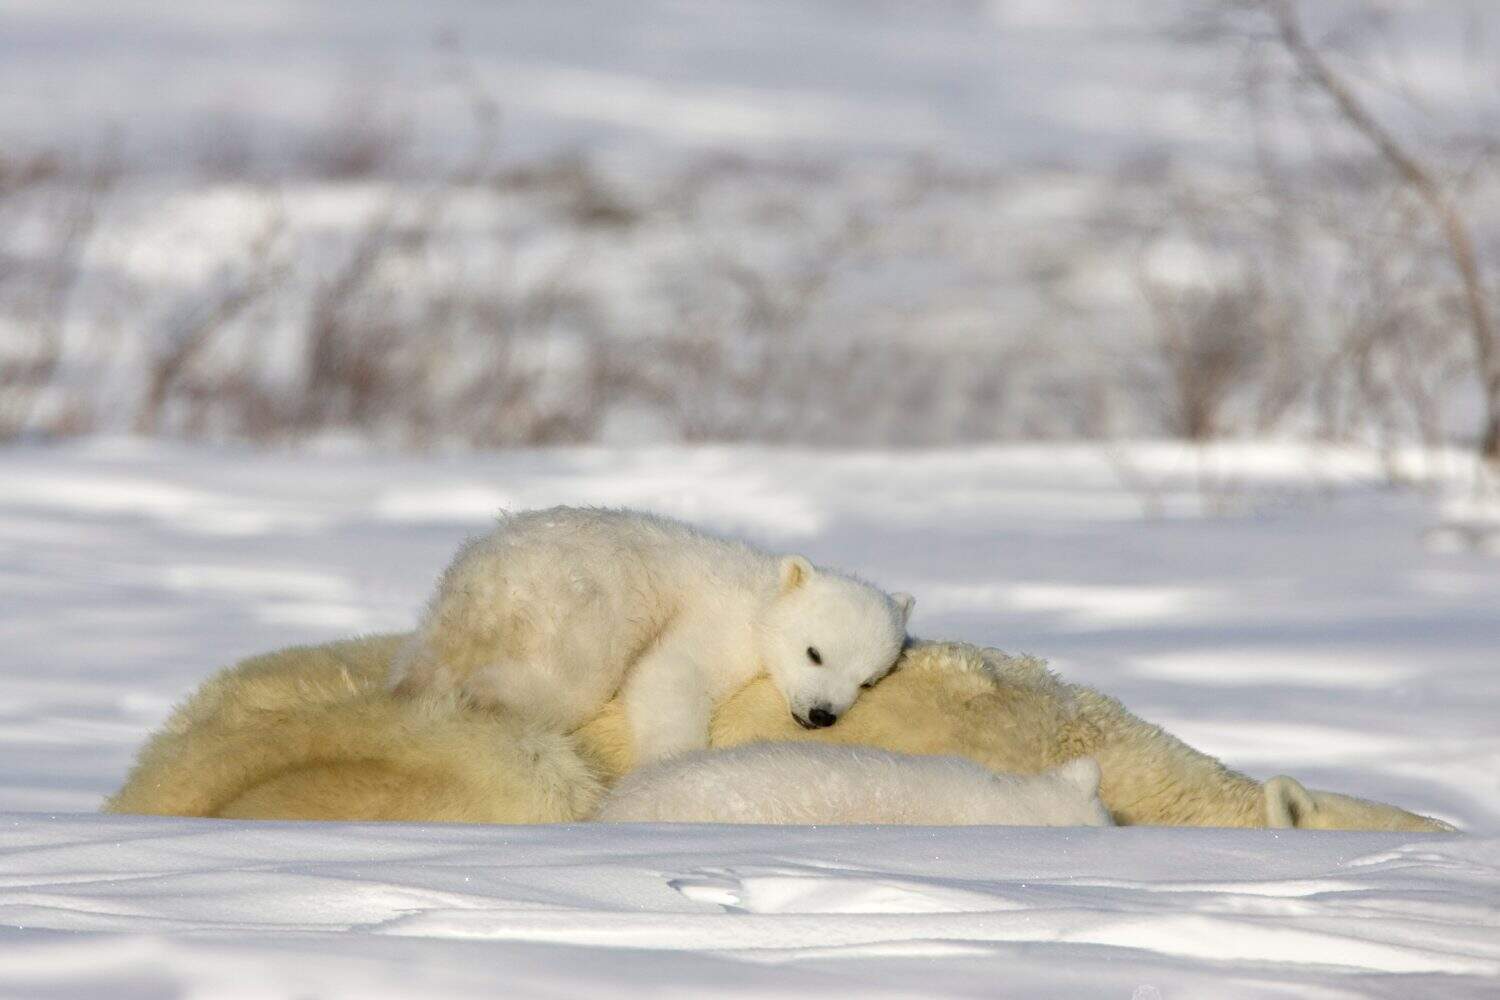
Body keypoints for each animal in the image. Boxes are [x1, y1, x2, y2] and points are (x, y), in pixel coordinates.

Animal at [390, 506, 914, 763]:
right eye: (814, 653)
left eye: (867, 680)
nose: (822, 714)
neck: (761, 595)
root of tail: (489, 580)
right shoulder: (716, 620)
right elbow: (671, 671)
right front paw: (671, 759)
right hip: (581, 601)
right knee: (575, 677)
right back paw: (487, 697)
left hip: (453, 615)